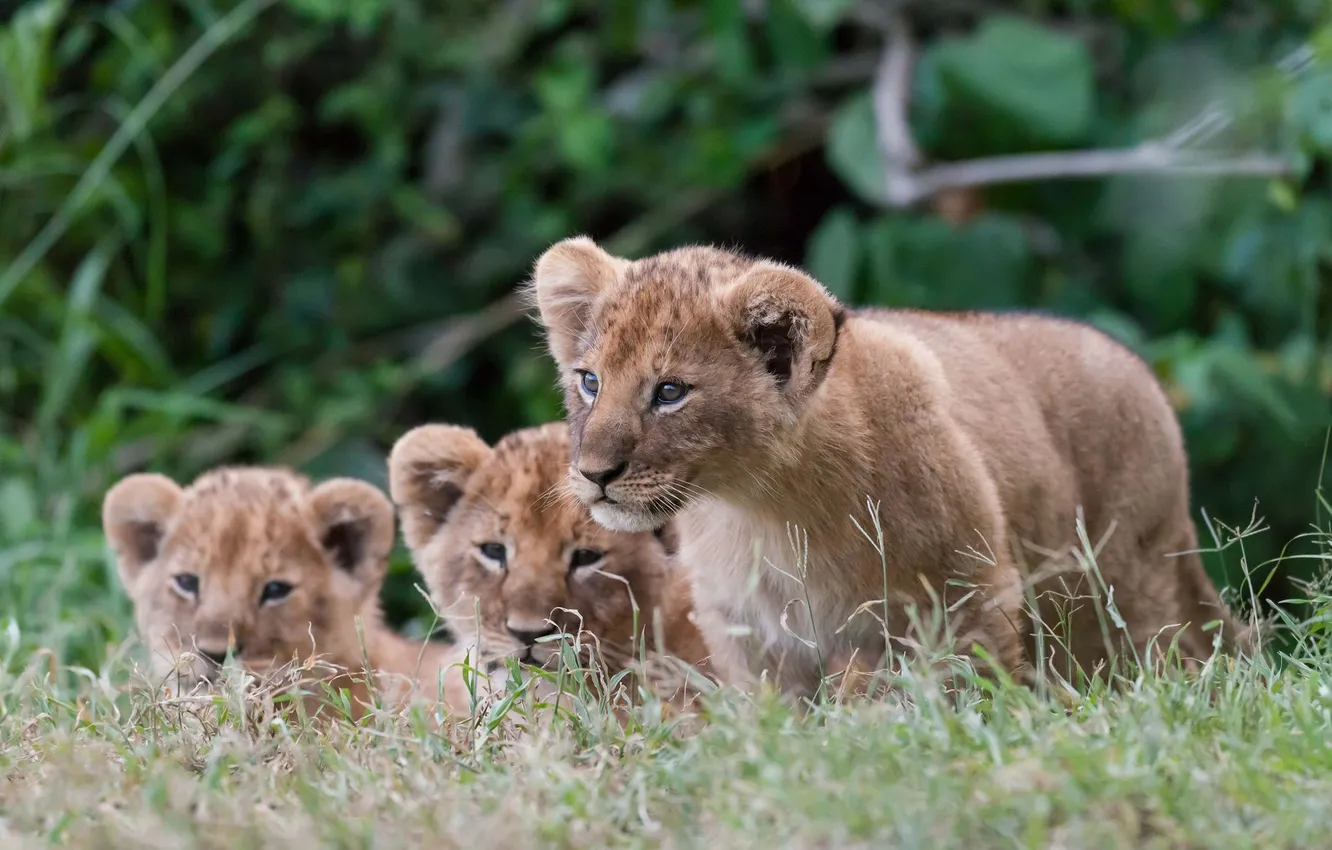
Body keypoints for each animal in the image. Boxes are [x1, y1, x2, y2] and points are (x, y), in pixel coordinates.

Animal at [528, 236, 1252, 698]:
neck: (763, 506)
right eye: (590, 381)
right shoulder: (752, 636)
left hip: (1127, 585)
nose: (593, 473)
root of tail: (1144, 374)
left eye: (670, 392)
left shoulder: (969, 597)